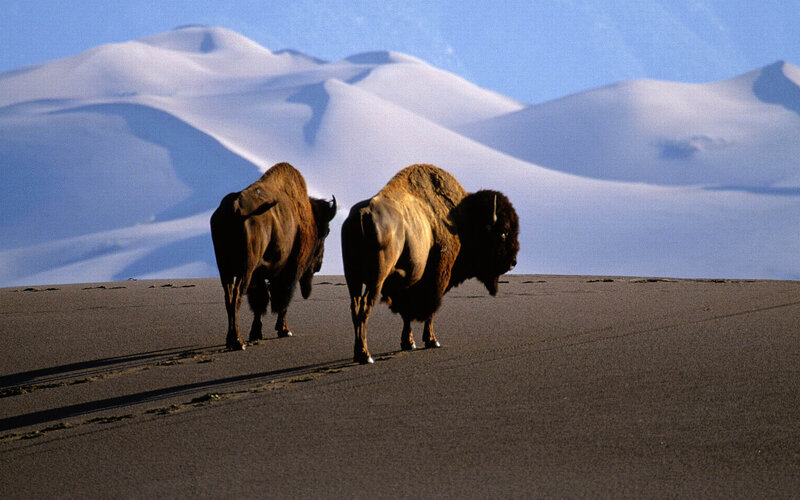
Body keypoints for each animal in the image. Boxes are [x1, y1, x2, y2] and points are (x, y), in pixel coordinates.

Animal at [210, 162, 336, 350]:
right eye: (326, 232)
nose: (319, 265)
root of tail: (235, 208)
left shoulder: (259, 275)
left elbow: (260, 302)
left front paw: (256, 333)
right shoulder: (290, 270)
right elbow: (282, 299)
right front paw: (284, 330)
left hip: (225, 269)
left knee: (230, 297)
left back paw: (232, 339)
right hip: (245, 269)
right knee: (238, 296)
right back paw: (238, 341)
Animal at [342, 164, 519, 364]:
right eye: (503, 232)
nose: (513, 262)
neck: (460, 218)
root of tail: (363, 214)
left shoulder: (408, 283)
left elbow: (407, 313)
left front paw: (409, 343)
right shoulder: (438, 278)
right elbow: (430, 310)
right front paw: (432, 341)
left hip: (352, 278)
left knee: (355, 306)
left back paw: (358, 353)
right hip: (376, 278)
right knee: (365, 306)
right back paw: (365, 355)